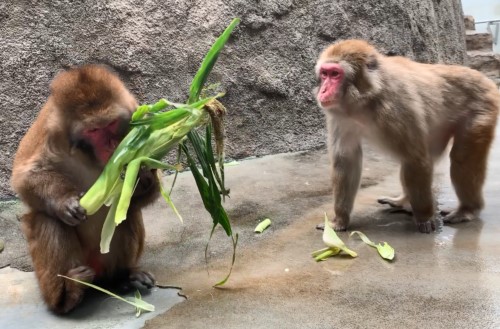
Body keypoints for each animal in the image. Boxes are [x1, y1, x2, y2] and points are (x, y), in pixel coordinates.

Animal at [11, 64, 158, 312]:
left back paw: (122, 277)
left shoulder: (137, 114)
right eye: (94, 131)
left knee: (126, 211)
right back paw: (67, 295)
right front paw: (64, 202)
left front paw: (142, 172)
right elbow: (24, 176)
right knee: (48, 220)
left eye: (110, 125)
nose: (111, 145)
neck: (88, 156)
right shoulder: (48, 129)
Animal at [314, 39, 498, 232]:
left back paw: (467, 209)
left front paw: (425, 217)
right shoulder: (340, 116)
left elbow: (415, 159)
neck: (367, 98)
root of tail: (485, 79)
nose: (323, 90)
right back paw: (404, 201)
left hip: (483, 109)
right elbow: (346, 160)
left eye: (335, 74)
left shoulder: (397, 107)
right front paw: (339, 220)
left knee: (461, 159)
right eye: (325, 74)